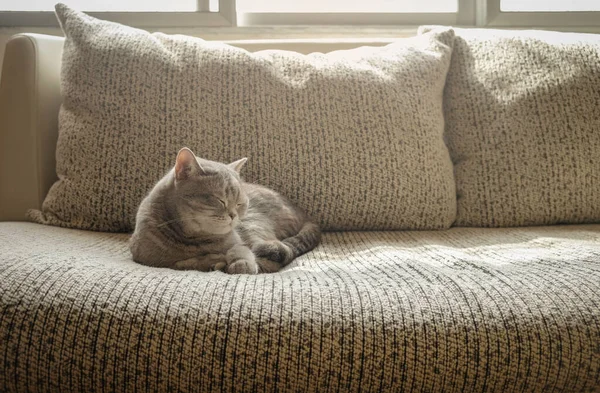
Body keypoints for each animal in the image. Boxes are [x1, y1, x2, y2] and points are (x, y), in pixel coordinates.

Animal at [129, 146, 322, 272]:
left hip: (253, 223)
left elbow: (240, 250)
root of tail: (305, 214)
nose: (233, 215)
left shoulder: (239, 239)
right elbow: (181, 262)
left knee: (279, 253)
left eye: (239, 203)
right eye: (220, 200)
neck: (196, 240)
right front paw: (212, 261)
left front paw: (239, 262)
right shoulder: (146, 257)